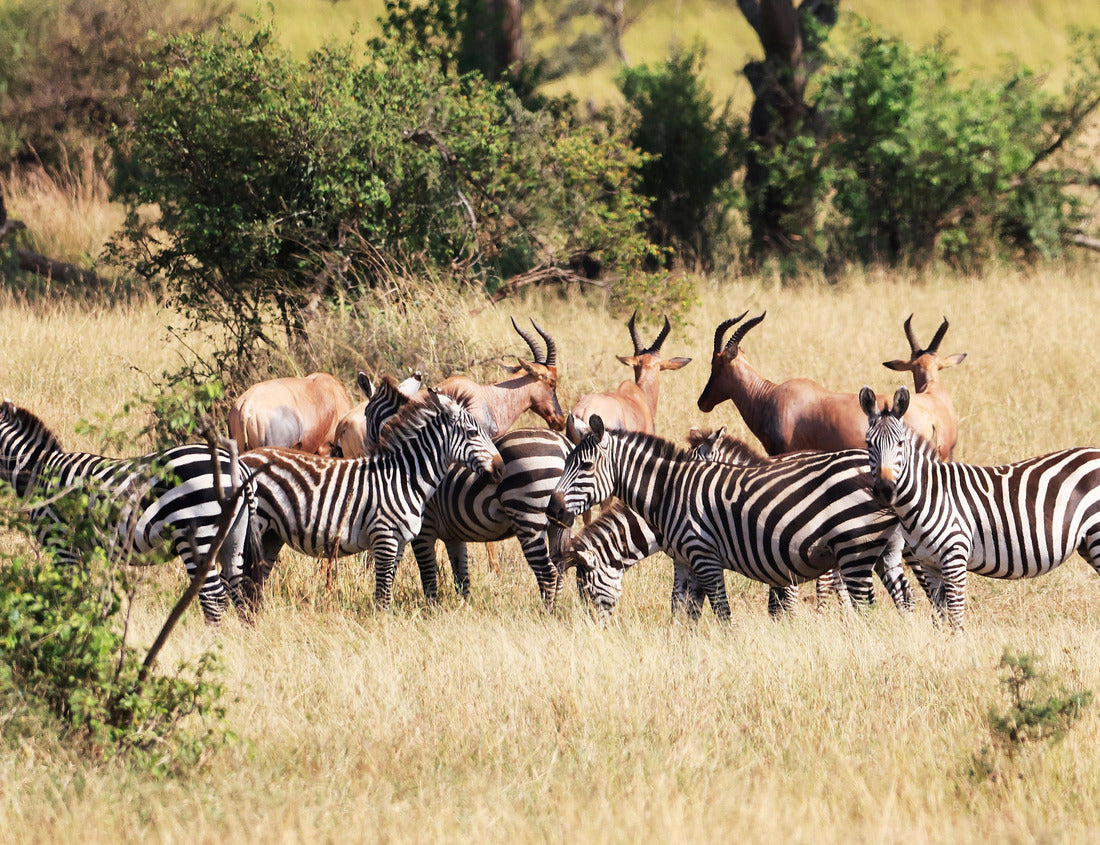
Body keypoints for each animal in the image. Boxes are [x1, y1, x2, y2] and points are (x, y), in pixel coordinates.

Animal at [0, 399, 258, 624]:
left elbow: (70, 593)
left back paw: (209, 644)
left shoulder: (62, 543)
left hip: (196, 534)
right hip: (233, 536)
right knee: (238, 590)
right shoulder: (80, 548)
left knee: (214, 597)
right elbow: (83, 592)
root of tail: (238, 468)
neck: (38, 472)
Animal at [240, 390, 503, 610]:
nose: (501, 469)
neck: (404, 478)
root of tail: (245, 456)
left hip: (271, 534)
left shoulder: (399, 542)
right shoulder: (384, 537)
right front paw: (382, 626)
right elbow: (382, 594)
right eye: (472, 433)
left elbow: (387, 588)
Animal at [545, 415, 908, 620]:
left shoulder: (706, 556)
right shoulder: (685, 560)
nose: (552, 510)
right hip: (881, 551)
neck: (668, 493)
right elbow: (683, 609)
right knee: (903, 595)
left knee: (865, 603)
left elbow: (723, 611)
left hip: (854, 549)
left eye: (586, 466)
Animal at [861, 385, 1100, 631]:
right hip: (1087, 543)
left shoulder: (955, 557)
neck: (928, 495)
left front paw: (958, 642)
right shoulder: (929, 564)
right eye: (868, 444)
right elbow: (939, 617)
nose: (885, 490)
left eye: (900, 443)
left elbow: (956, 618)